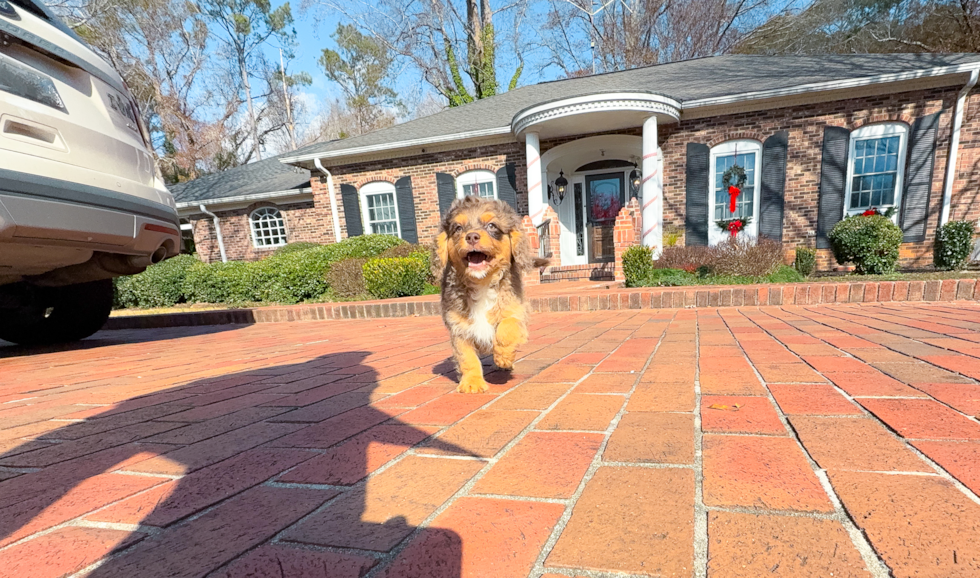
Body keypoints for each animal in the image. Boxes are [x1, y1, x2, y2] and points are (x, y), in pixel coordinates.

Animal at [432, 197, 548, 392]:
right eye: (458, 228)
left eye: (492, 226)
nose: (471, 236)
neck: (482, 284)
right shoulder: (459, 328)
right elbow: (467, 359)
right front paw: (472, 383)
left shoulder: (517, 312)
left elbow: (507, 327)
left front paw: (503, 357)